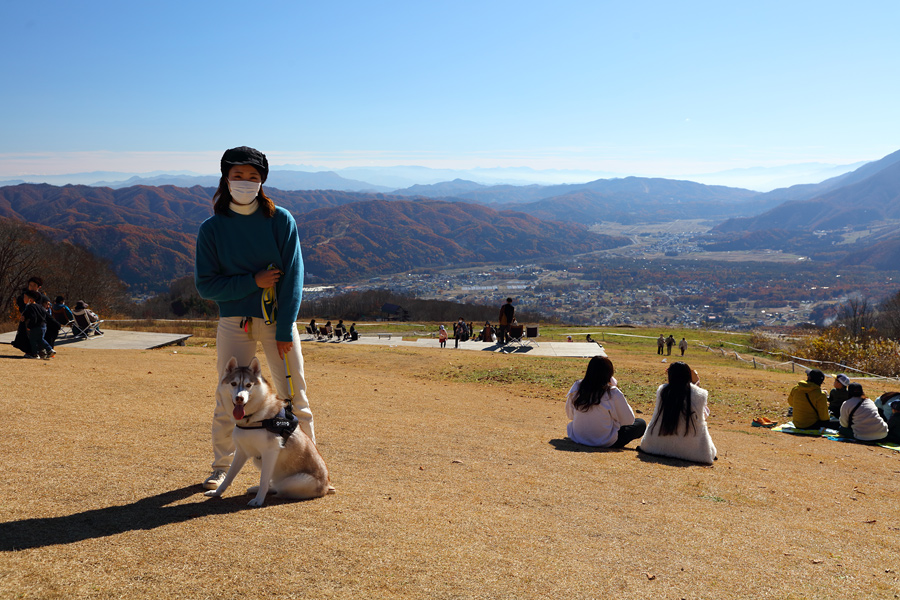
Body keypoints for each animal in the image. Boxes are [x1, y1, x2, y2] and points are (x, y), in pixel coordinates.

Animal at [204, 356, 330, 506]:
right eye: (233, 383)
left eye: (248, 385)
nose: (240, 398)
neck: (253, 417)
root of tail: (326, 487)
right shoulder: (241, 451)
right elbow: (229, 476)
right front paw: (217, 492)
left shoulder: (269, 453)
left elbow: (263, 480)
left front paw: (258, 500)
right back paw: (254, 489)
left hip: (292, 481)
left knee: (277, 487)